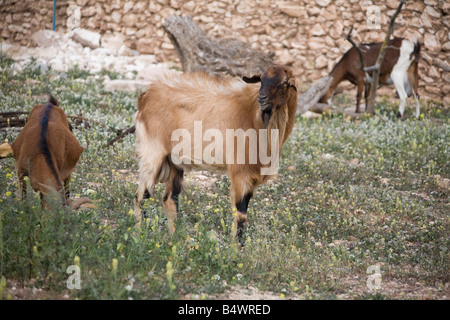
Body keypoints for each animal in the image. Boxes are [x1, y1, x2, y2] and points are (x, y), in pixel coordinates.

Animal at [132, 64, 298, 242]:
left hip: (174, 161)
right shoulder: (240, 172)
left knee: (169, 199)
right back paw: (140, 236)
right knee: (141, 196)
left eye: (284, 83)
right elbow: (240, 214)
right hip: (153, 153)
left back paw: (175, 237)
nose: (262, 99)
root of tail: (145, 98)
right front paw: (235, 247)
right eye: (261, 79)